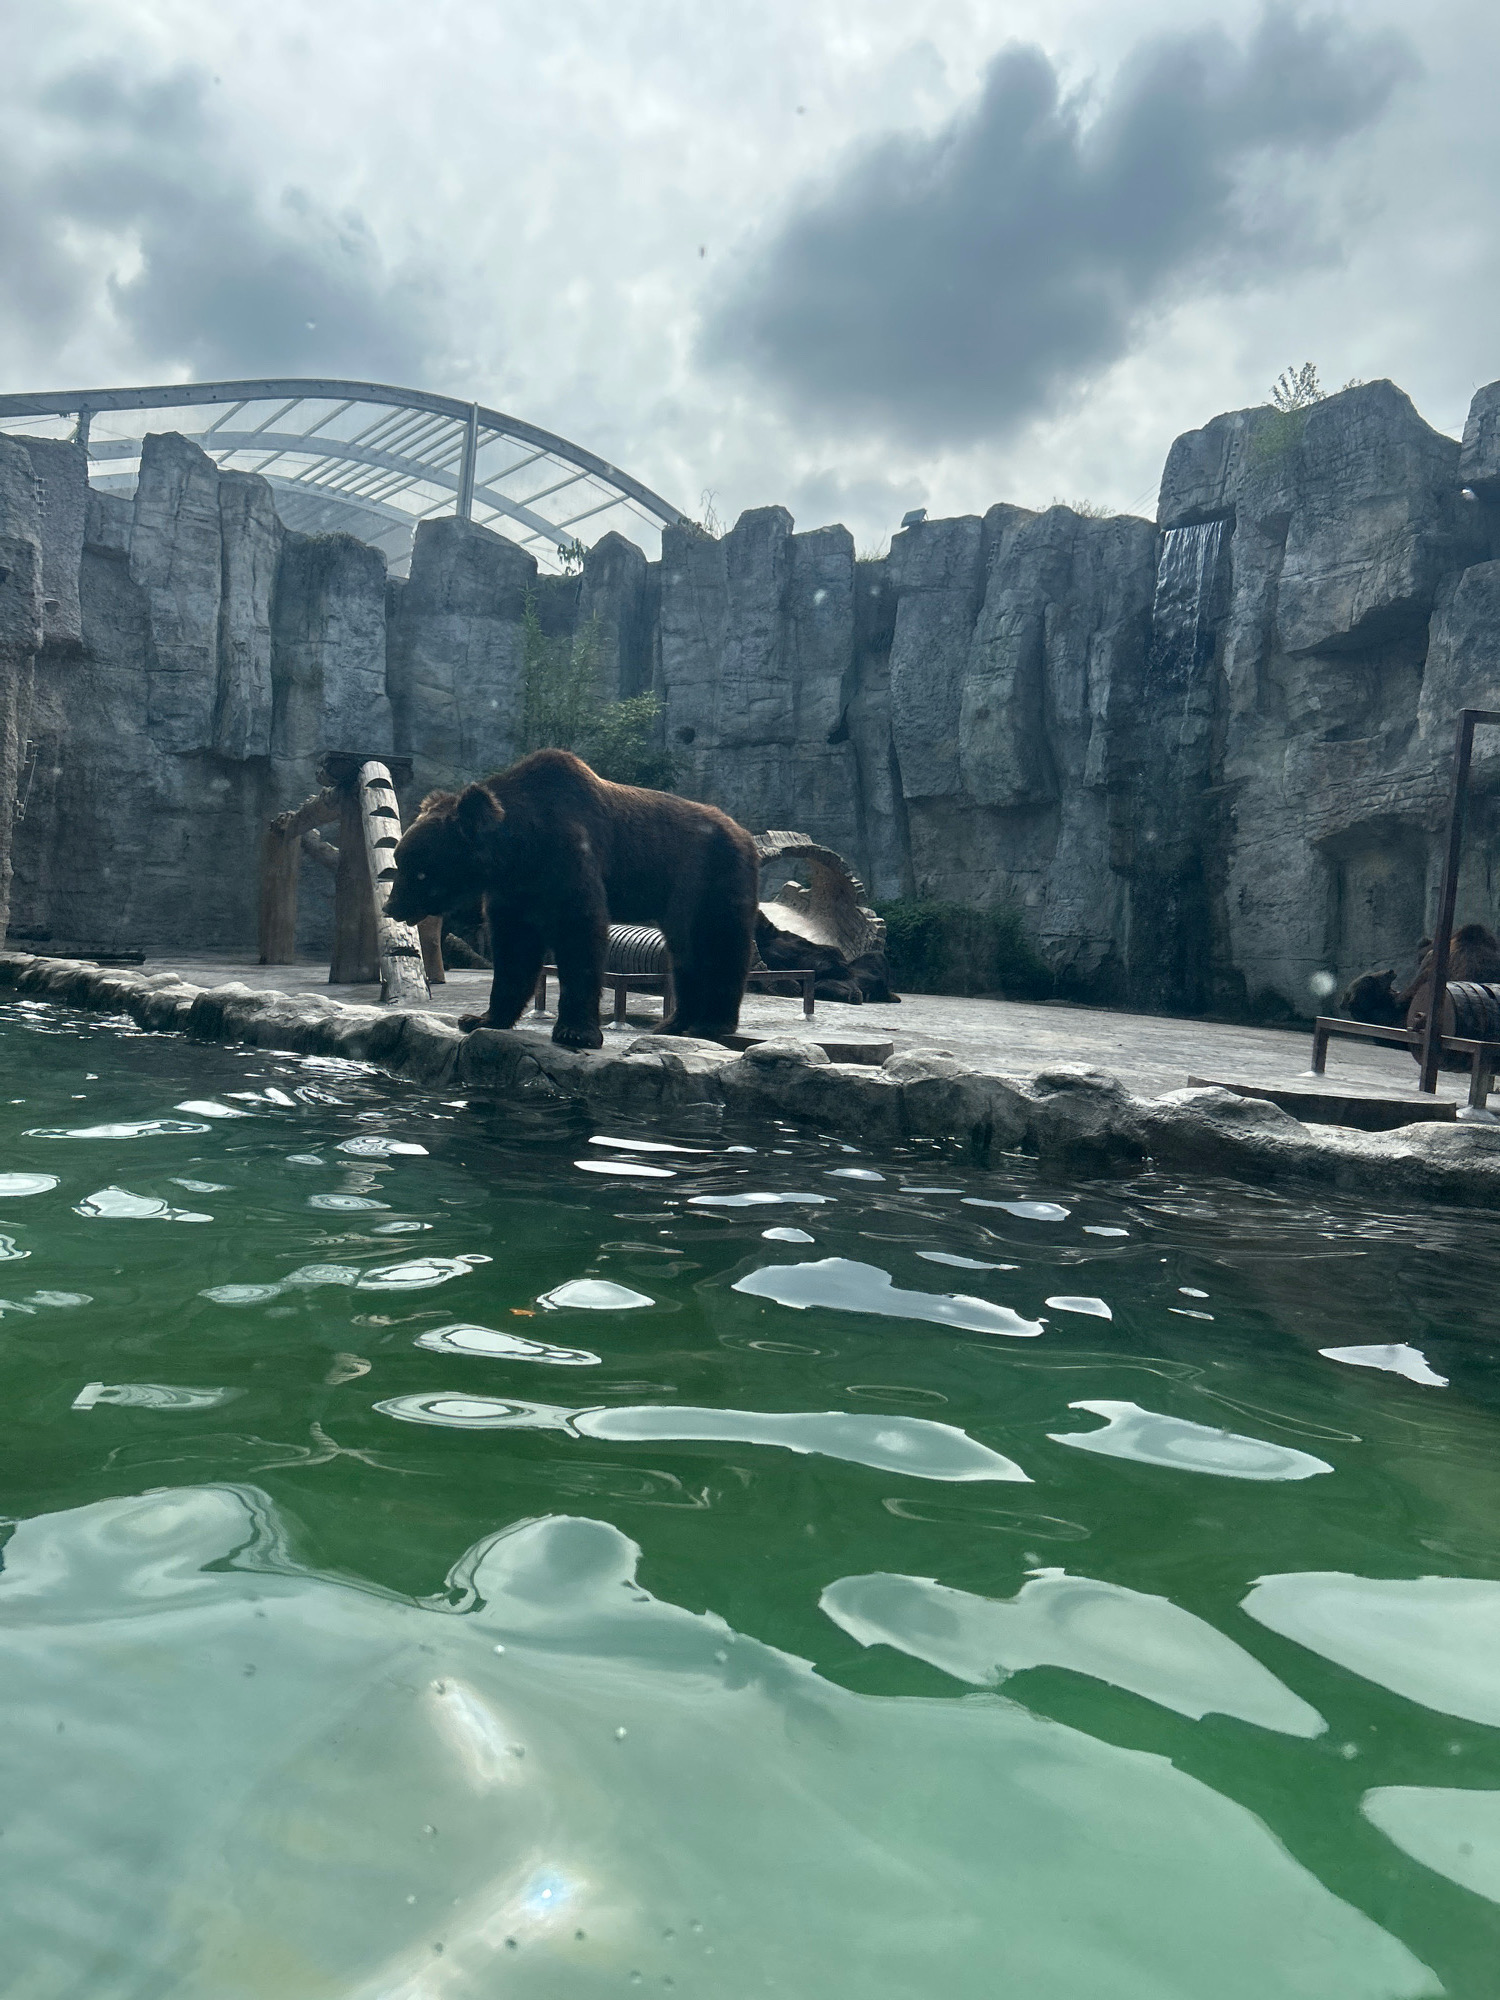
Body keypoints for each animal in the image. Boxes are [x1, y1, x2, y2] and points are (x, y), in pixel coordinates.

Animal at [384, 748, 759, 1049]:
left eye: (419, 870)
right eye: (401, 860)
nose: (392, 906)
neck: (520, 851)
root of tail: (744, 832)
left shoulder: (569, 857)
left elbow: (579, 933)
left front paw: (575, 1032)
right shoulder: (514, 891)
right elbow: (513, 948)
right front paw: (480, 1018)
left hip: (713, 874)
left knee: (720, 941)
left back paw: (711, 1022)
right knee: (685, 951)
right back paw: (674, 1023)